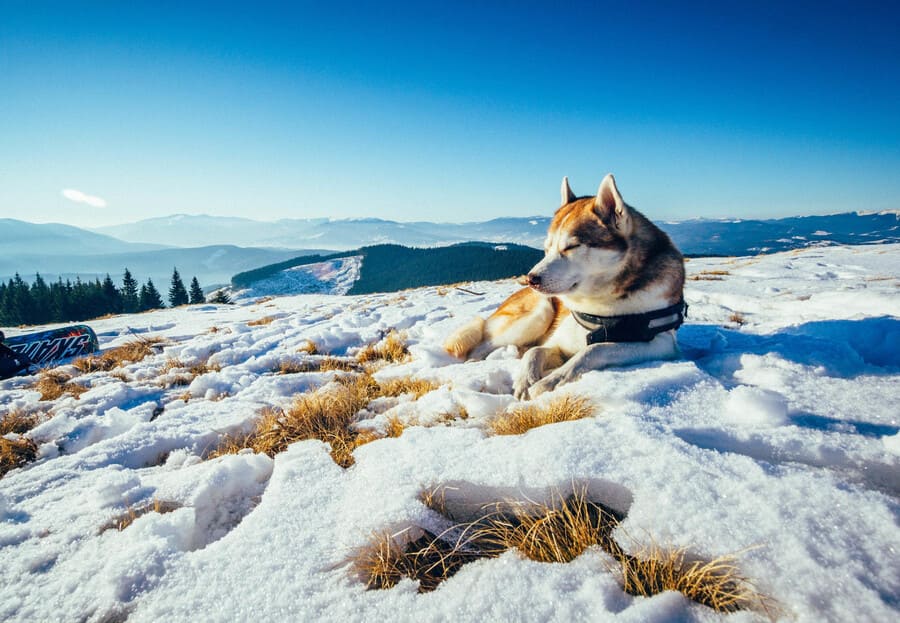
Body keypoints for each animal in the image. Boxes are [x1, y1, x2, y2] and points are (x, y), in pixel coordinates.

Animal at [446, 174, 684, 400]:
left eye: (571, 246)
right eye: (546, 248)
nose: (531, 279)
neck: (599, 309)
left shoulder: (663, 344)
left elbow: (594, 350)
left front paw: (550, 381)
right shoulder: (557, 342)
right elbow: (536, 352)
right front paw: (525, 380)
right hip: (539, 313)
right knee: (485, 343)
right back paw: (473, 362)